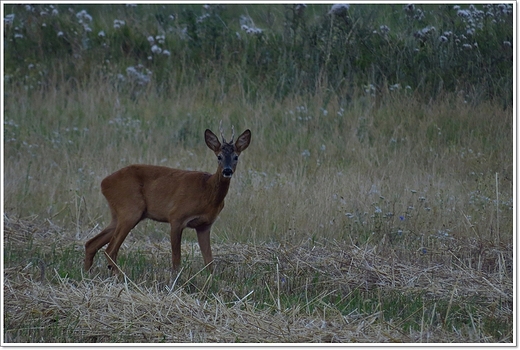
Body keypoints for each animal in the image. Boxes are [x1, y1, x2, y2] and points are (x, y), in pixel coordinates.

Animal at [84, 123, 251, 274]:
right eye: (219, 156)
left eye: (236, 157)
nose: (227, 171)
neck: (207, 192)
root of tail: (104, 182)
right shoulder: (176, 216)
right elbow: (176, 259)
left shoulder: (205, 225)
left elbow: (209, 262)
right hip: (130, 209)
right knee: (110, 250)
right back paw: (119, 277)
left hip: (119, 214)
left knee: (91, 243)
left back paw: (87, 273)